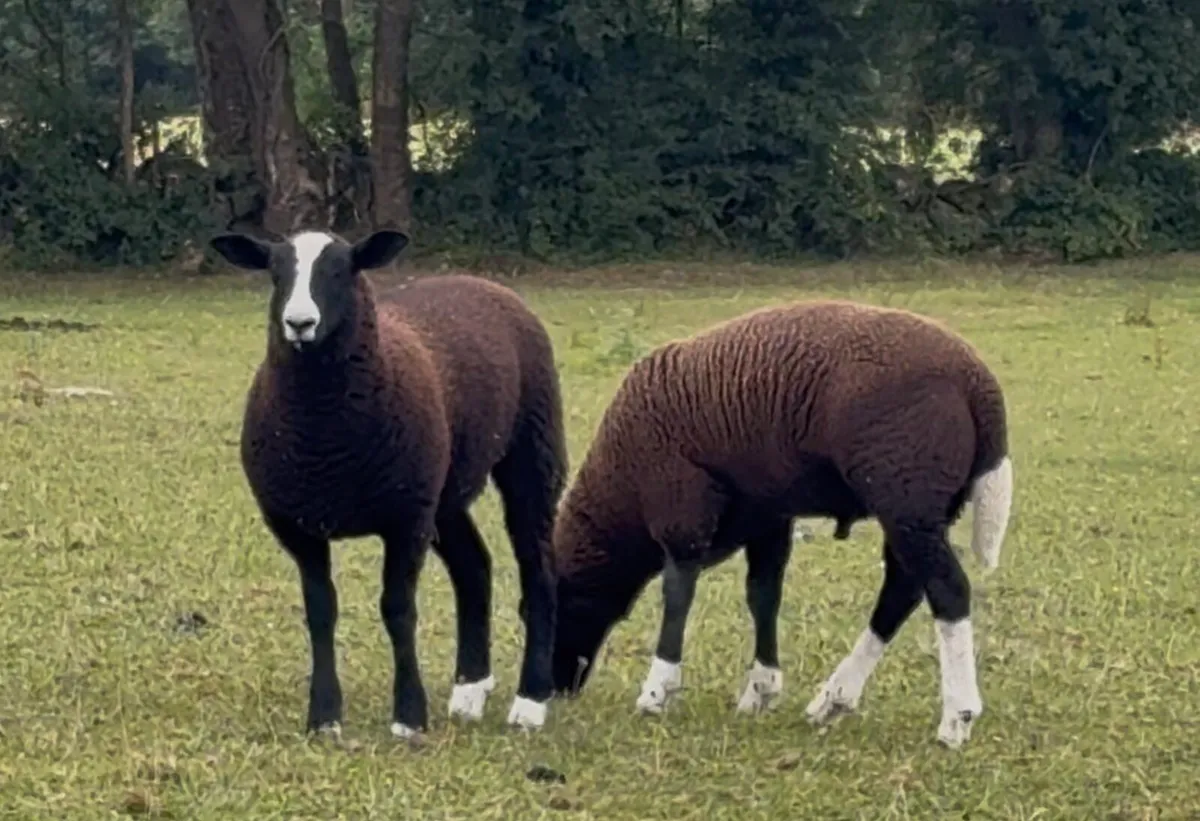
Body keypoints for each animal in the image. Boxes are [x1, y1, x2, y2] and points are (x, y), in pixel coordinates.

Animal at [210, 228, 567, 739]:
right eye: (275, 273)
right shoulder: (299, 527)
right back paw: (469, 690)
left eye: (343, 270)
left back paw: (530, 702)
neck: (325, 444)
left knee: (538, 572)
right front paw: (324, 717)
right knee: (474, 567)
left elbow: (398, 610)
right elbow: (320, 611)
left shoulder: (404, 520)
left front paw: (409, 717)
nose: (299, 323)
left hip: (531, 451)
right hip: (441, 489)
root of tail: (481, 281)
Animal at [547, 299, 1013, 749]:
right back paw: (835, 697)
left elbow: (678, 594)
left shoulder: (681, 504)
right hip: (921, 505)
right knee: (903, 588)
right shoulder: (765, 515)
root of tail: (980, 388)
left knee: (947, 589)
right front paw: (761, 688)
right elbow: (764, 595)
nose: (557, 686)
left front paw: (657, 690)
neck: (621, 493)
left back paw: (956, 716)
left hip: (905, 494)